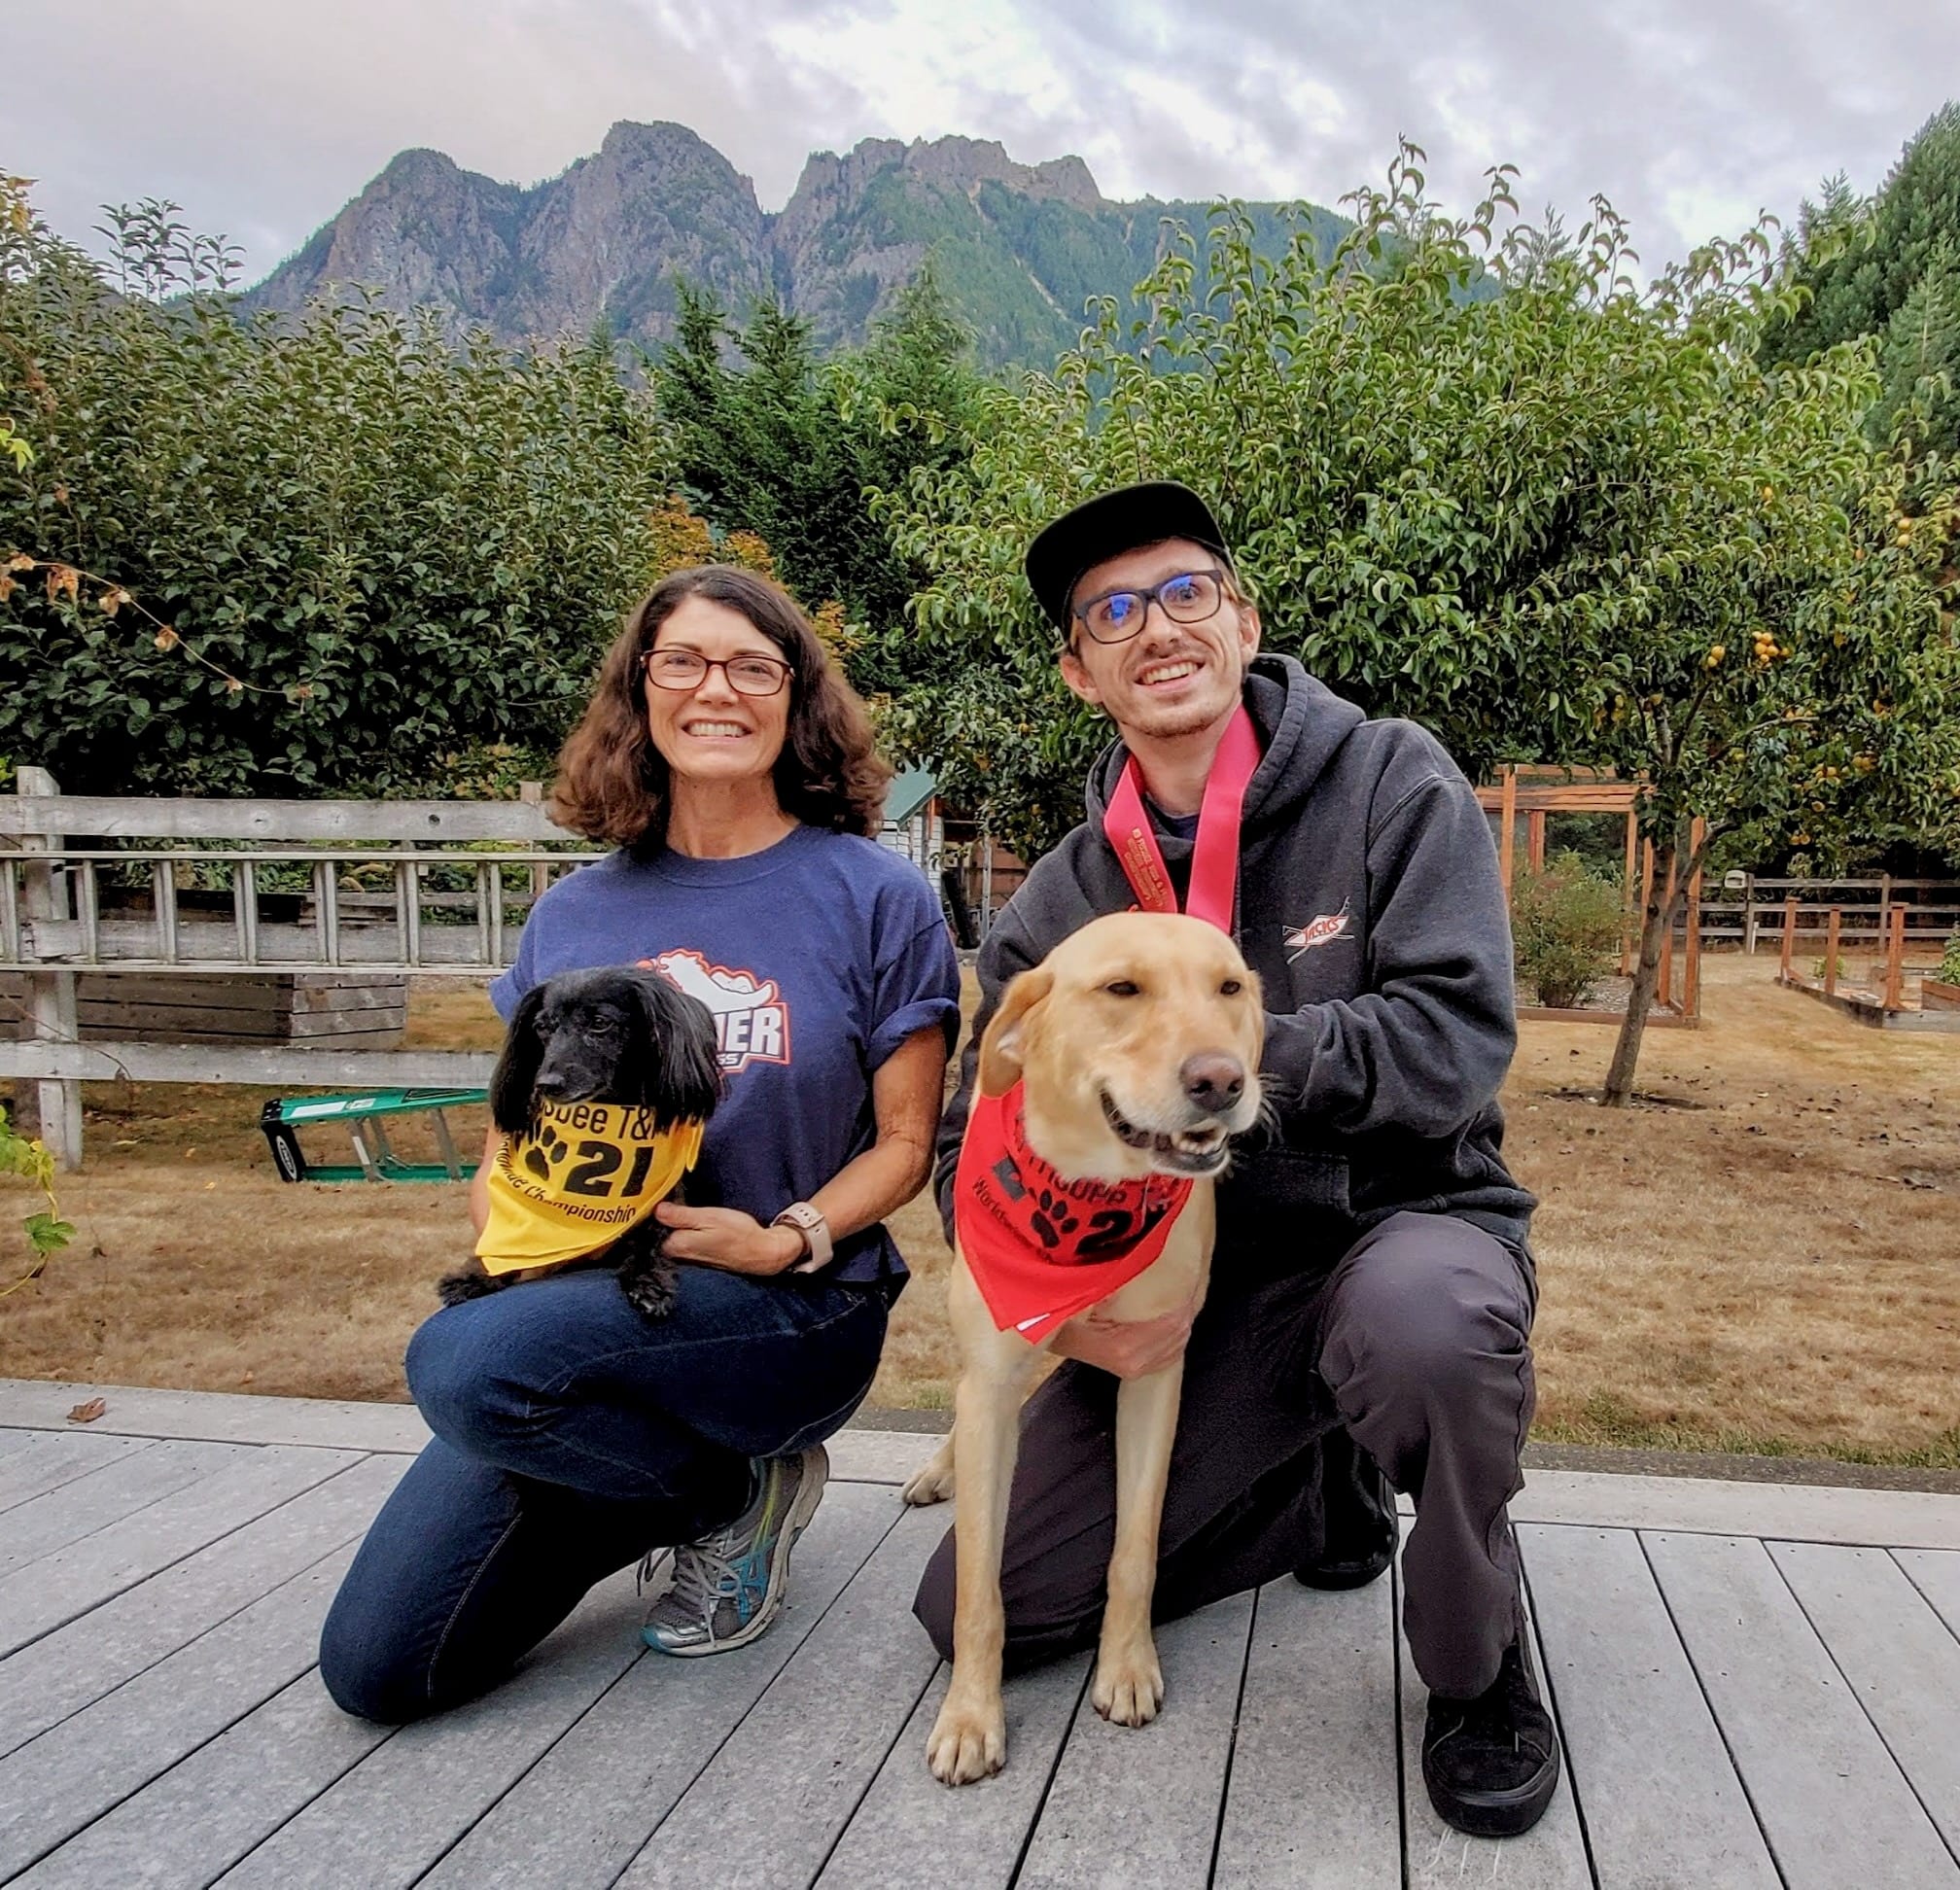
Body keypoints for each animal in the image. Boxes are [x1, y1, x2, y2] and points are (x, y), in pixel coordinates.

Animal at [437, 968, 720, 1325]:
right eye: (542, 1027)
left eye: (599, 1023)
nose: (546, 1084)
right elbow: (504, 1246)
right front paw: (477, 1274)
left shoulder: (667, 1201)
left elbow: (649, 1240)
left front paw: (648, 1281)